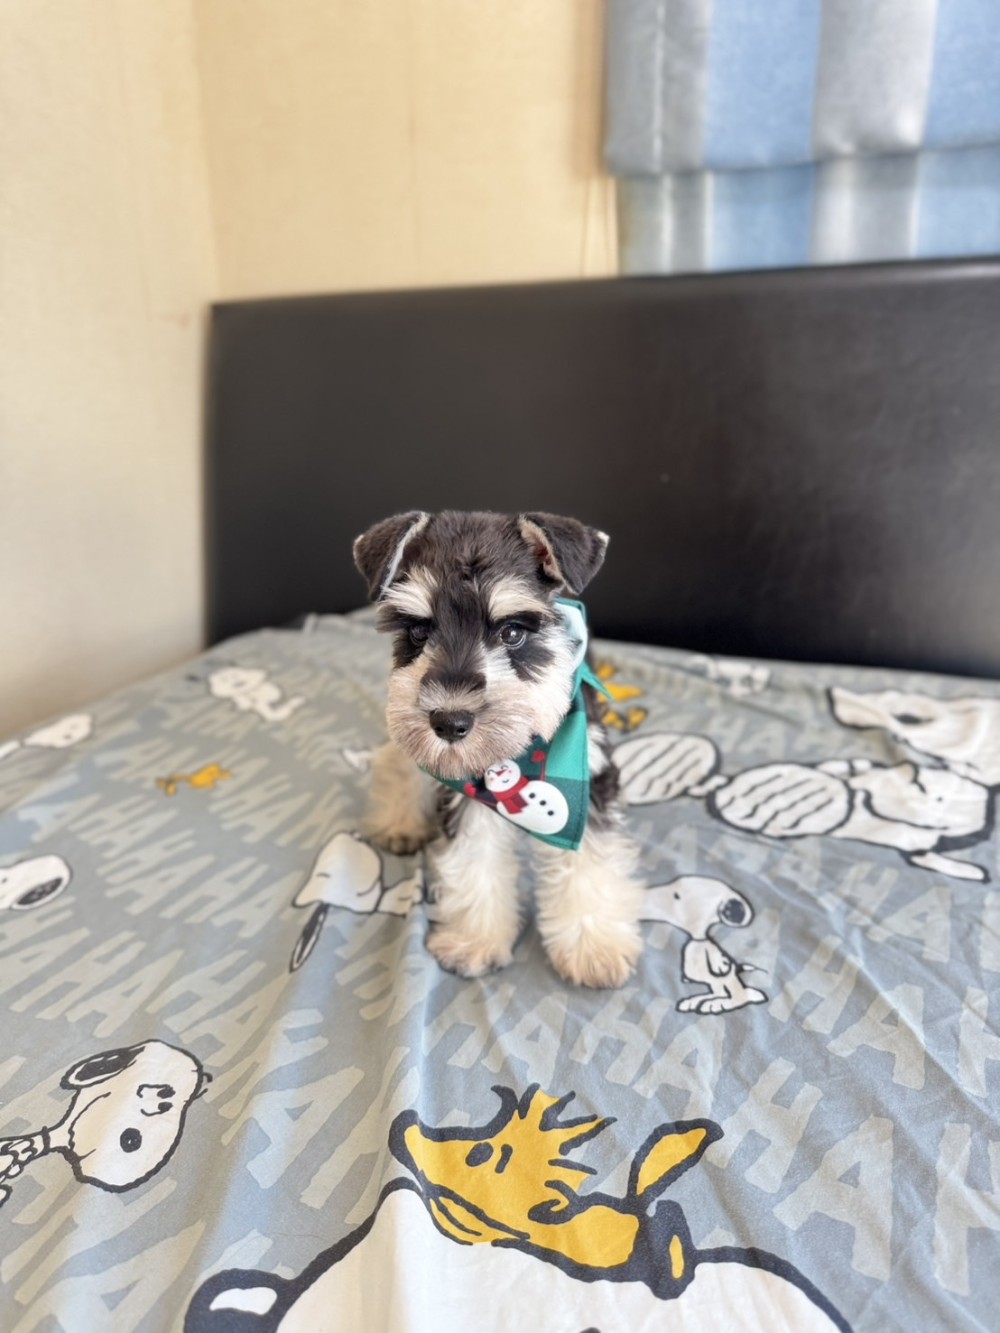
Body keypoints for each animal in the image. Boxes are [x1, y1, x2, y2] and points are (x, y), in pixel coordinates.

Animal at [353, 510, 644, 989]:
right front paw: (475, 941)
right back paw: (400, 822)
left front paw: (593, 946)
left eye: (512, 632)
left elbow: (589, 863)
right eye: (417, 630)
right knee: (399, 760)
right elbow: (474, 862)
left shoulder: (591, 784)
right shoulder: (465, 796)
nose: (449, 722)